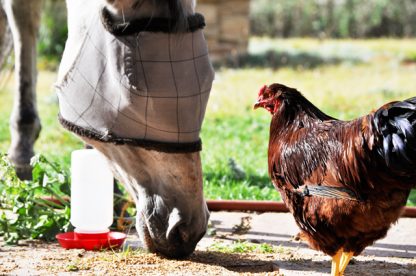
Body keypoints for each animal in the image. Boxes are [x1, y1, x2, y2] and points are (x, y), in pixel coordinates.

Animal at [0, 0, 213, 258]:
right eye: (132, 101)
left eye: (209, 82)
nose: (186, 227)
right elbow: (24, 16)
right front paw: (21, 152)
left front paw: (113, 196)